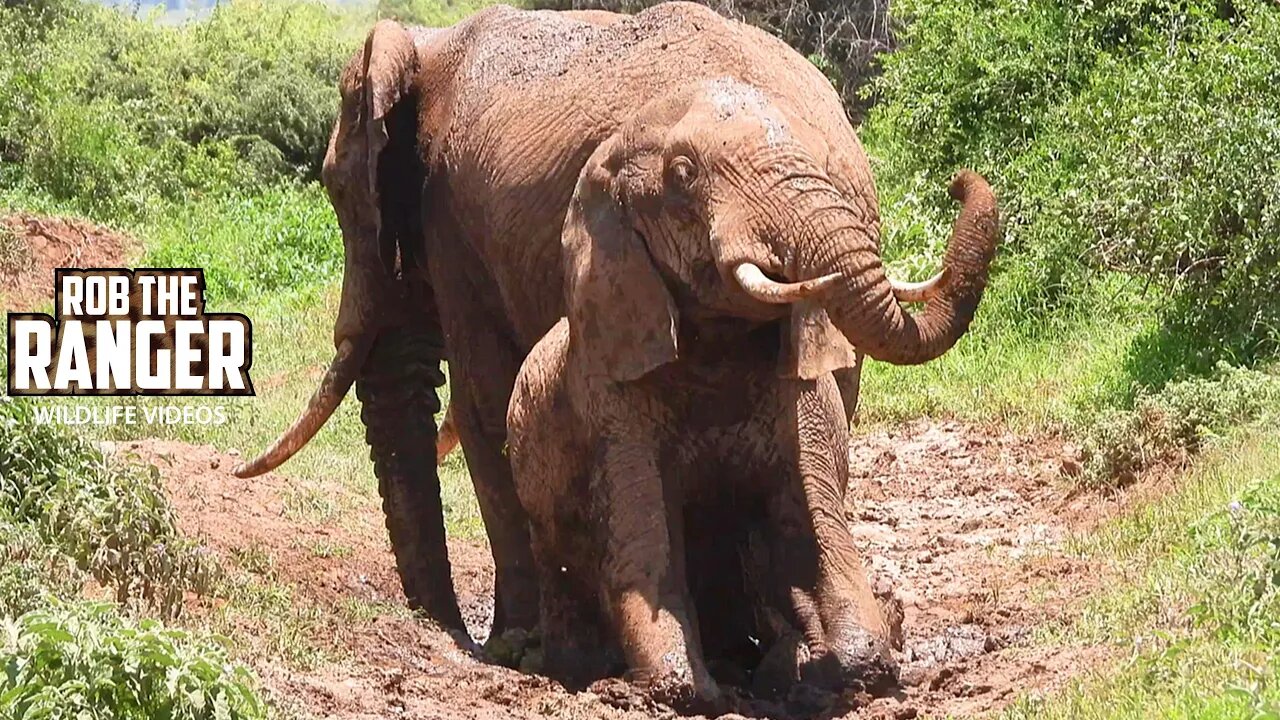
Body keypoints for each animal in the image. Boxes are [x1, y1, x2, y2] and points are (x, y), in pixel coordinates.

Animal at [235, 4, 998, 645]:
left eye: (337, 189)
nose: (446, 632)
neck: (428, 43)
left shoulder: (454, 223)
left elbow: (483, 407)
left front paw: (518, 648)